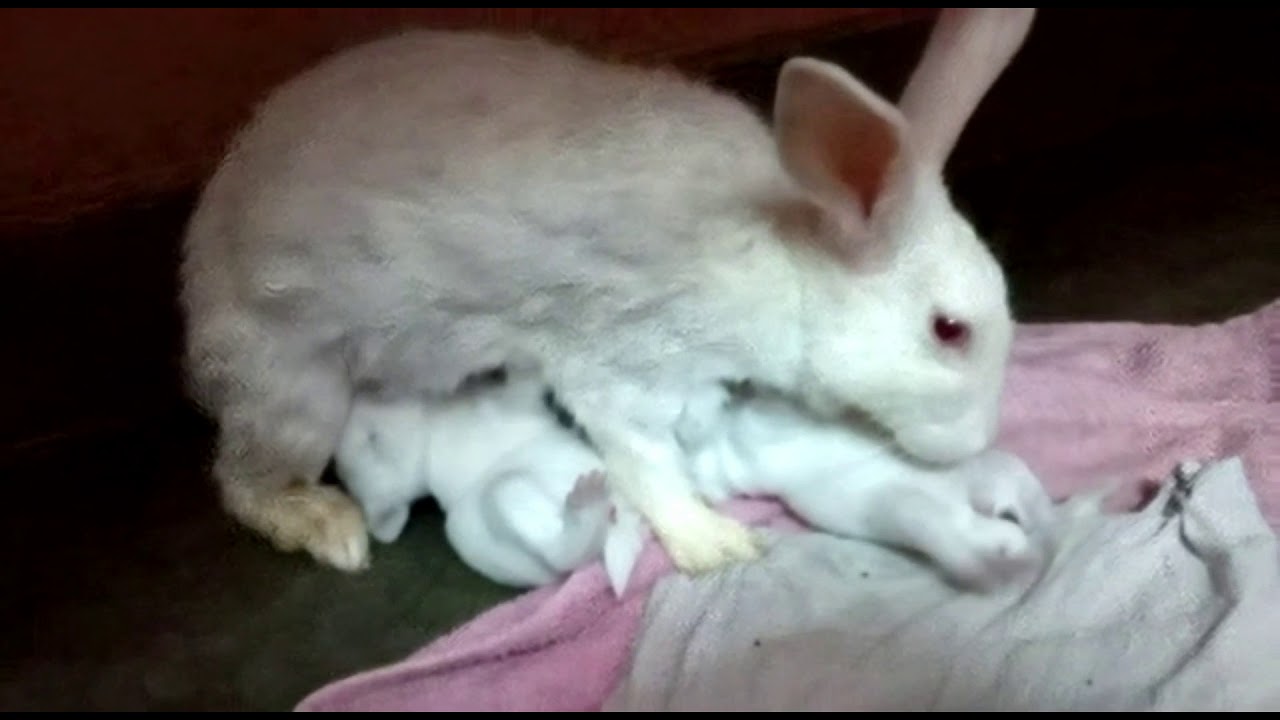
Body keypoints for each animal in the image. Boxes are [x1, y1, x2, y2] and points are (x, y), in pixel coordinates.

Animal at [178, 9, 1039, 574]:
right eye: (949, 329)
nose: (975, 445)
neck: (787, 259)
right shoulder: (625, 358)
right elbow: (642, 457)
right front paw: (715, 543)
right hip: (297, 391)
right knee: (241, 481)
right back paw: (329, 526)